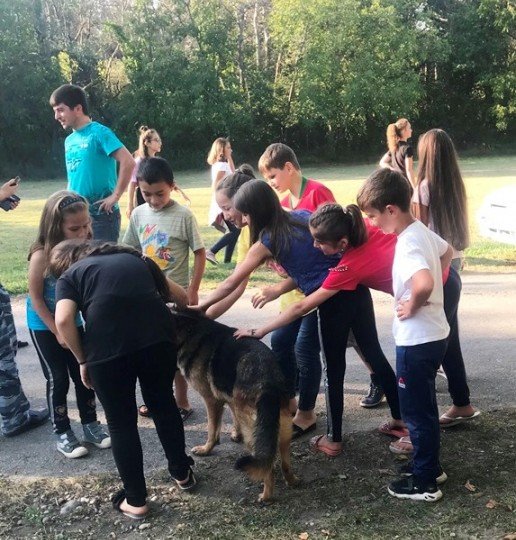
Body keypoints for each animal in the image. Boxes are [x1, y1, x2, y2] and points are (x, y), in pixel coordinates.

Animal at [170, 310, 296, 504]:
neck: (189, 331)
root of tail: (268, 381)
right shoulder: (229, 396)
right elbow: (232, 413)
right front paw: (235, 434)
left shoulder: (211, 400)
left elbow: (212, 429)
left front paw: (206, 449)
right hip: (282, 428)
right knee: (284, 463)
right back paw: (292, 481)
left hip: (254, 433)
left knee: (267, 466)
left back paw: (266, 496)